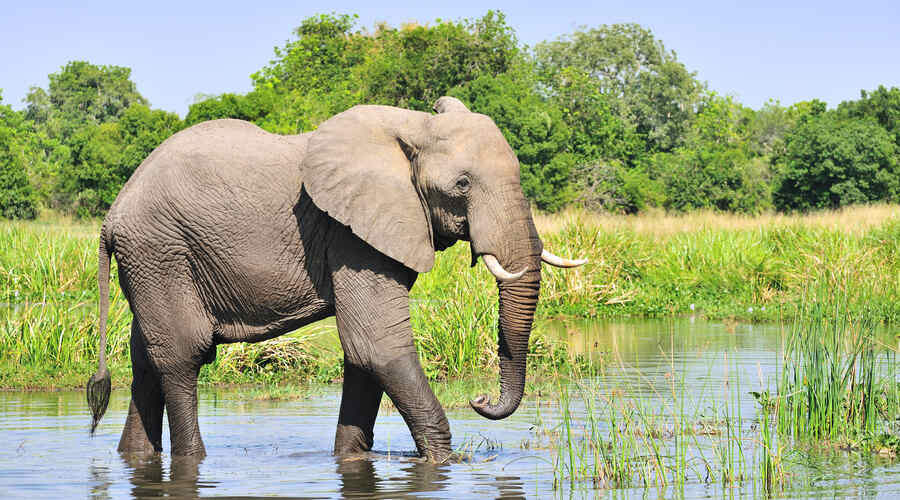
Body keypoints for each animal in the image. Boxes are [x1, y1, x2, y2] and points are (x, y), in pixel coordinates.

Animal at [88, 95, 588, 462]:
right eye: (462, 185)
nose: (480, 401)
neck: (414, 128)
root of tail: (111, 216)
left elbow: (363, 355)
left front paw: (350, 460)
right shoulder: (351, 233)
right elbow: (378, 345)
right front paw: (446, 465)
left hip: (152, 261)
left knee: (145, 359)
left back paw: (135, 457)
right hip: (161, 250)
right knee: (182, 355)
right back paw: (194, 458)